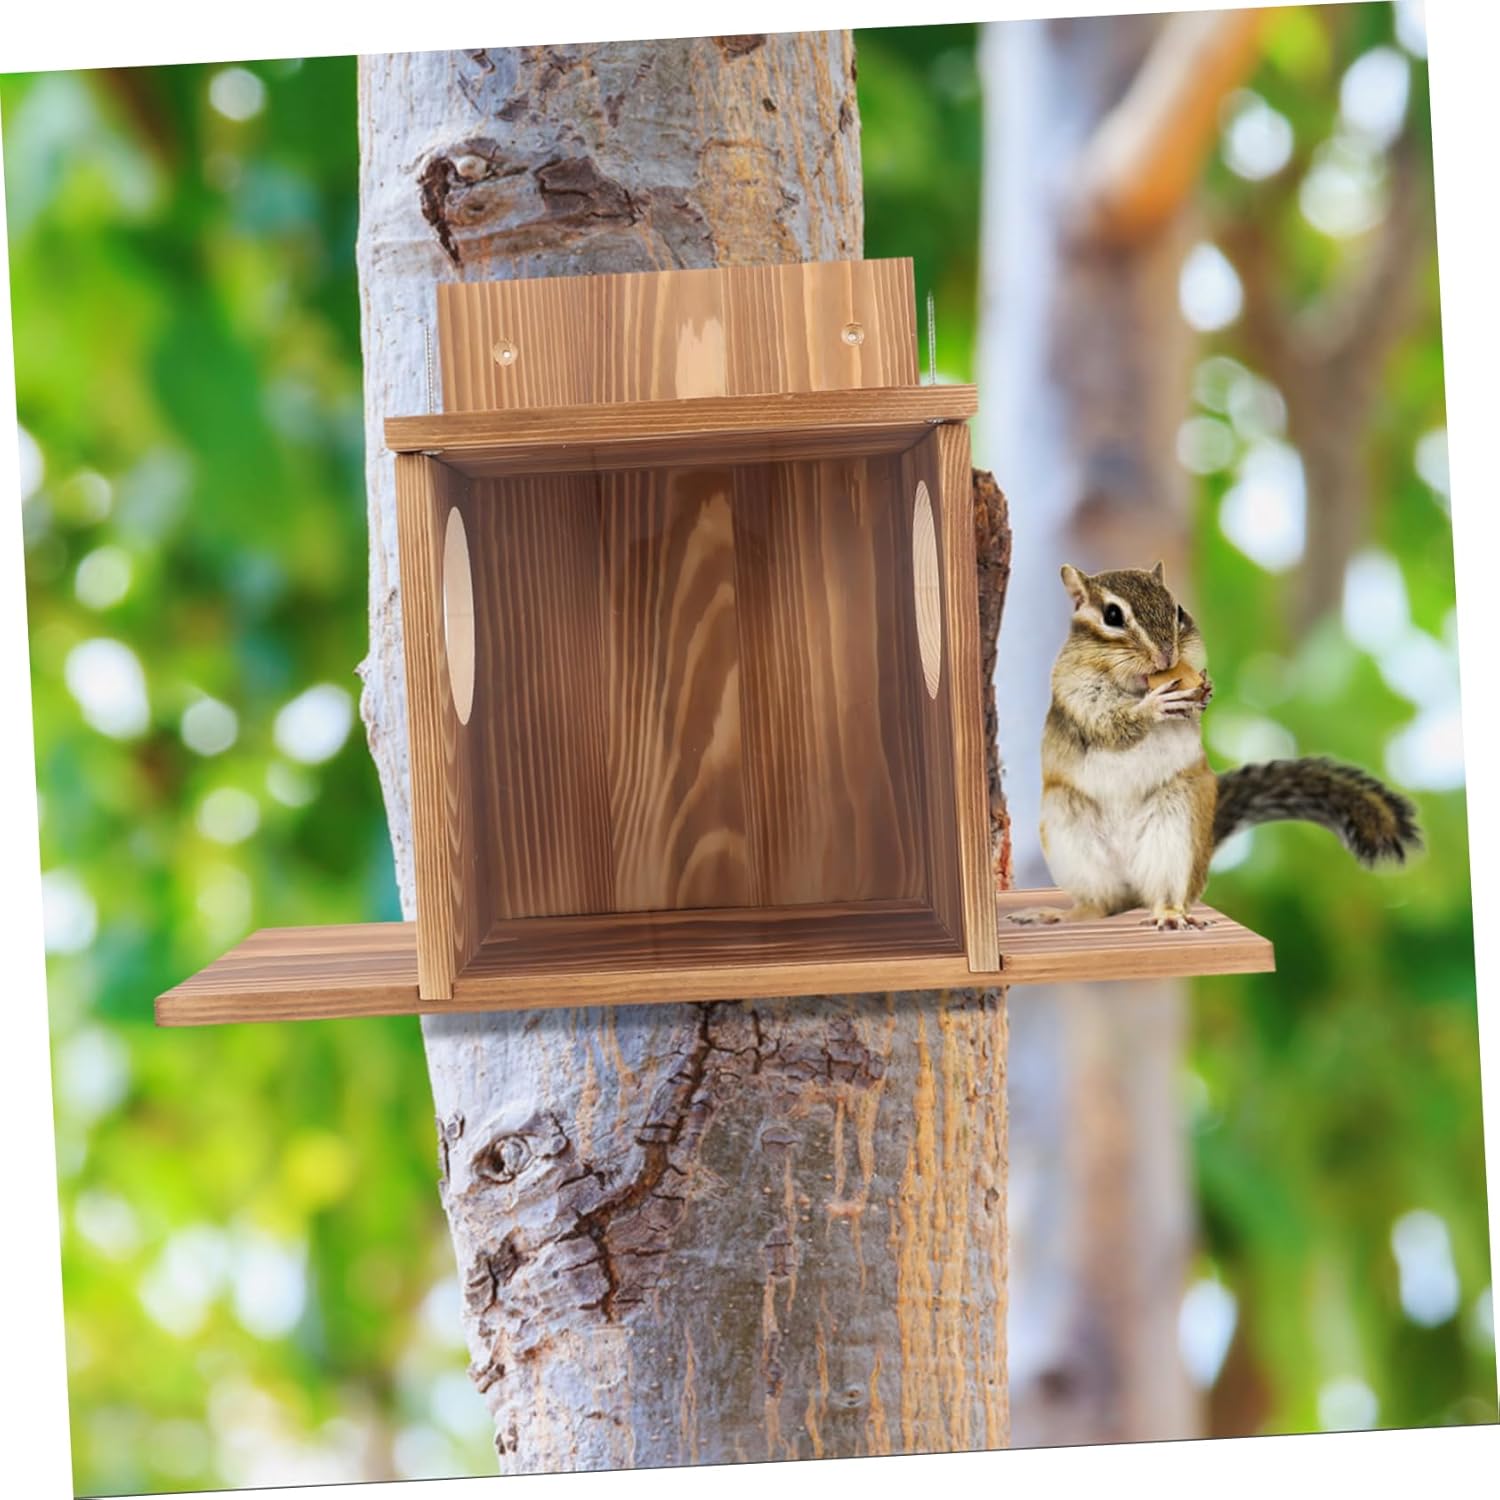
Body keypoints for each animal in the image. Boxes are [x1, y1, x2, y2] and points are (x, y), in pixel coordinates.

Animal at [1007, 562, 1421, 932]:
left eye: (1177, 609)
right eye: (1112, 615)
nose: (1167, 656)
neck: (1135, 685)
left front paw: (1203, 692)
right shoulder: (1075, 691)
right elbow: (1109, 722)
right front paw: (1155, 706)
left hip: (1177, 831)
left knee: (1164, 893)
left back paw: (1170, 914)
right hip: (1071, 836)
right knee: (1101, 905)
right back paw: (1059, 915)